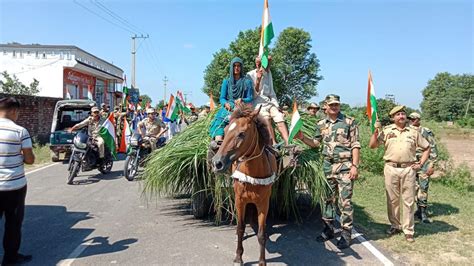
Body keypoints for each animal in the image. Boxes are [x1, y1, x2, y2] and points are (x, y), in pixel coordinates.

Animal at [212, 104, 278, 266]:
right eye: (225, 130)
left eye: (241, 134)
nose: (217, 163)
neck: (253, 174)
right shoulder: (239, 200)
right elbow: (240, 228)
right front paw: (238, 257)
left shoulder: (263, 203)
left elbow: (261, 234)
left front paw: (262, 261)